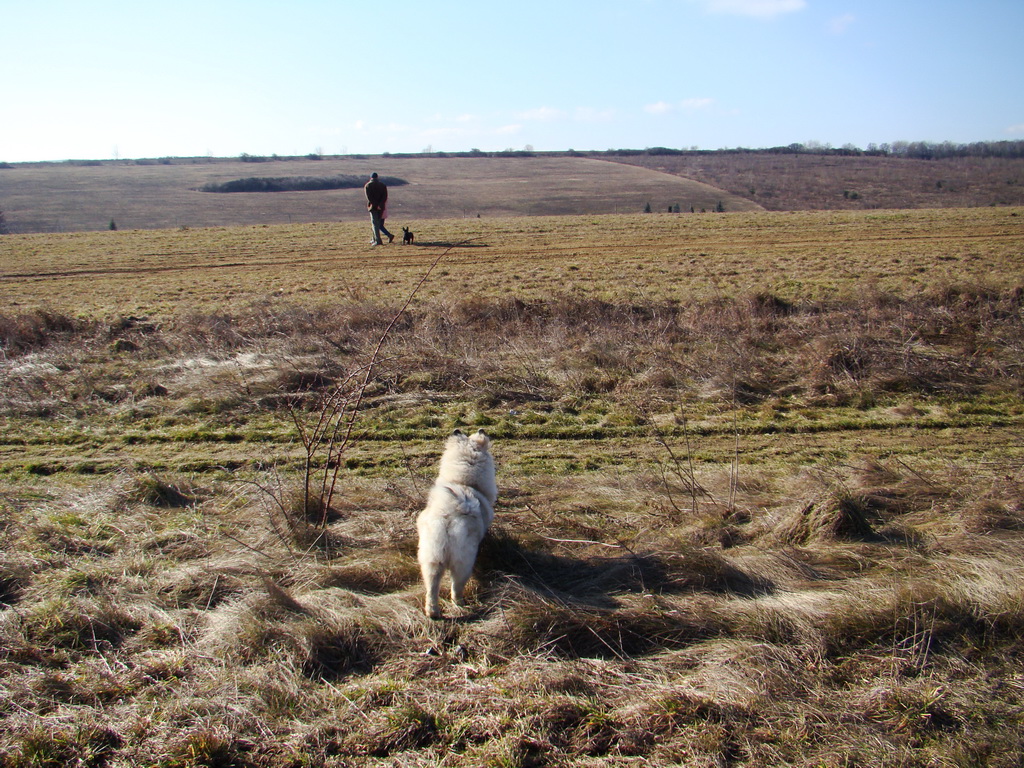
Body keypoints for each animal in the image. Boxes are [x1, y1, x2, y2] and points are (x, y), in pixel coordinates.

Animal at [413, 430, 497, 622]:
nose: (482, 430)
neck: (464, 483)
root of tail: (447, 517)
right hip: (463, 561)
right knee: (456, 586)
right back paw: (460, 604)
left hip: (431, 558)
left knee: (432, 587)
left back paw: (433, 612)